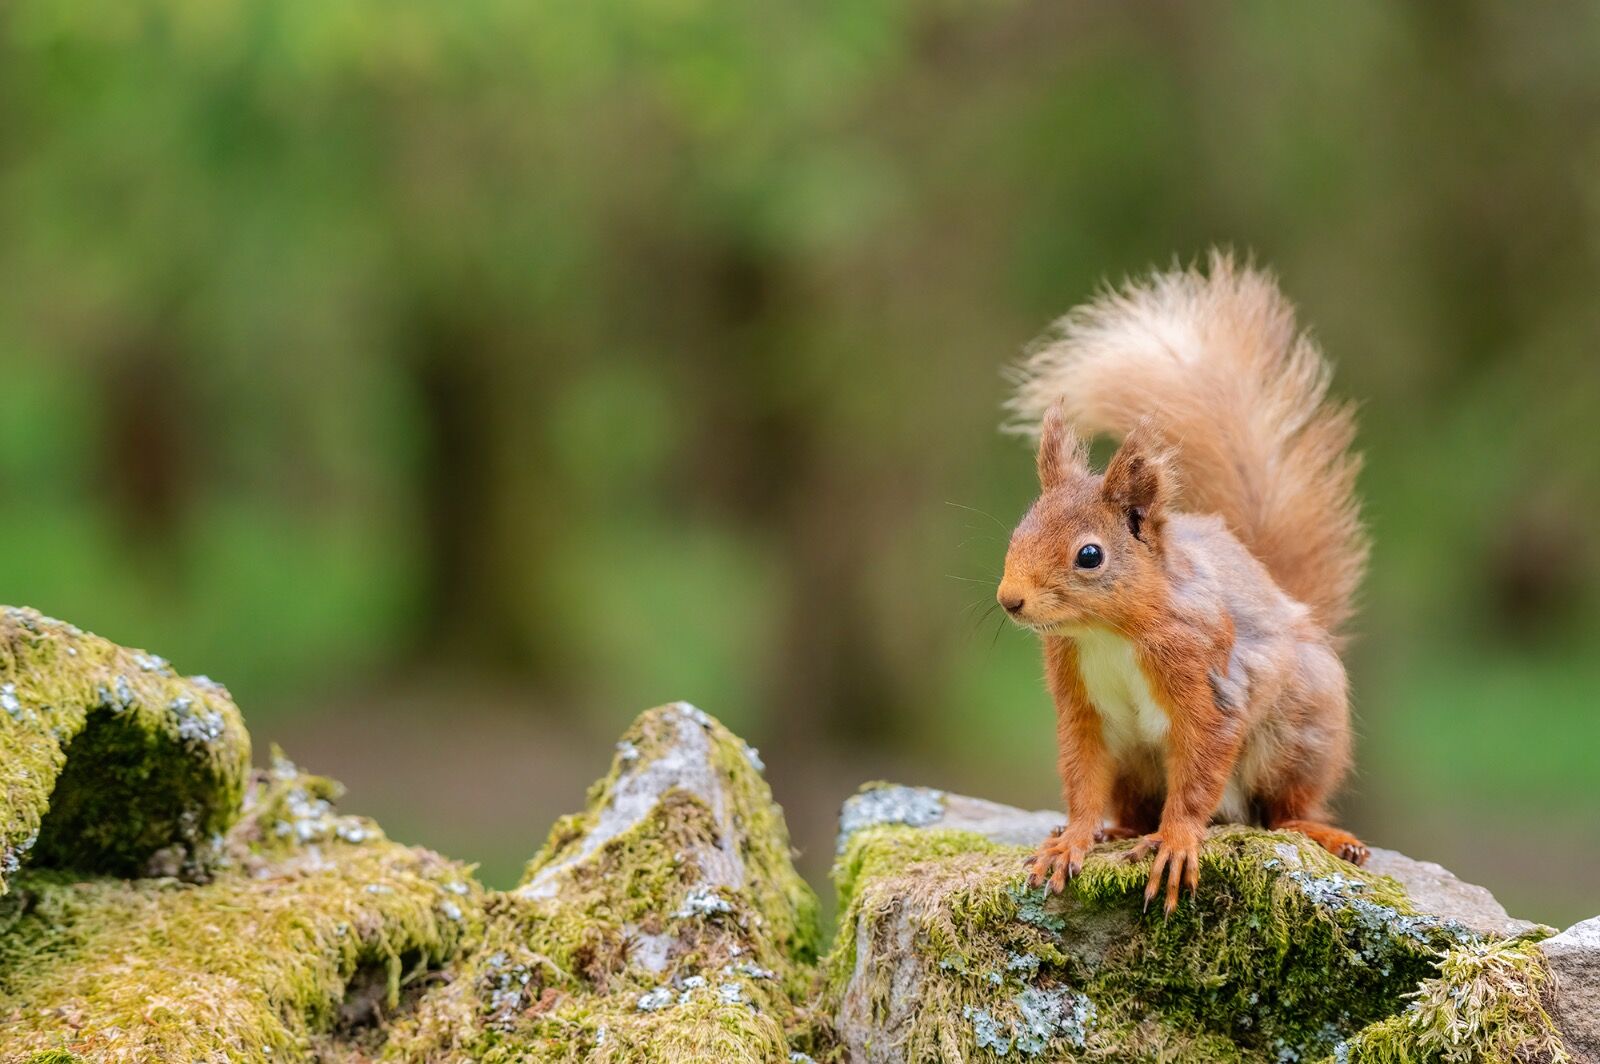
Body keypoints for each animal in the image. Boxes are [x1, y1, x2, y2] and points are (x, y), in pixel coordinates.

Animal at [996, 251, 1369, 914]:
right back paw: (1117, 830)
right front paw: (1072, 839)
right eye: (1020, 528)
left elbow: (1199, 771)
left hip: (1297, 737)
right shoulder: (1079, 702)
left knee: (1281, 811)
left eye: (1089, 555)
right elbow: (1082, 774)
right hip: (1137, 767)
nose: (1008, 600)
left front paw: (1175, 844)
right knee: (1136, 806)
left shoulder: (1207, 677)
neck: (1107, 632)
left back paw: (1323, 833)